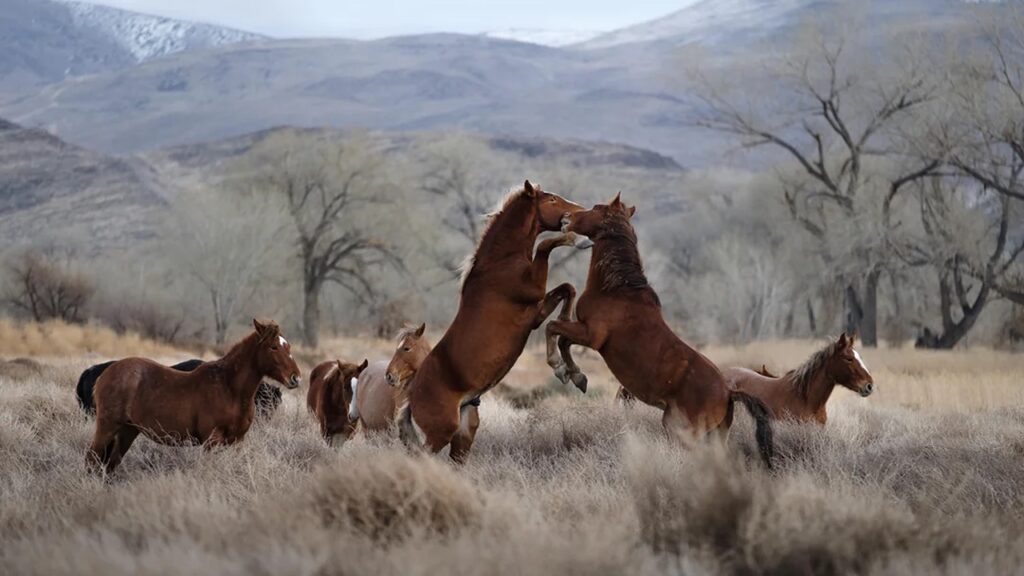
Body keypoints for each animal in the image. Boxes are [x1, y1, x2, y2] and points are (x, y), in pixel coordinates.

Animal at [399, 180, 589, 463]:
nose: (578, 213)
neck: (500, 262)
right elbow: (546, 246)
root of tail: (411, 399)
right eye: (552, 200)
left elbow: (567, 289)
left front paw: (570, 368)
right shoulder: (533, 293)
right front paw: (578, 240)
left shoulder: (535, 312)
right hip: (439, 434)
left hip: (464, 435)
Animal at [548, 193, 774, 466]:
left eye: (595, 208)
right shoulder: (585, 333)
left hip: (679, 429)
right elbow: (562, 339)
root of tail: (728, 392)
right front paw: (576, 376)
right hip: (717, 435)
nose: (566, 218)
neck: (616, 289)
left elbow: (553, 328)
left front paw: (565, 371)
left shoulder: (591, 335)